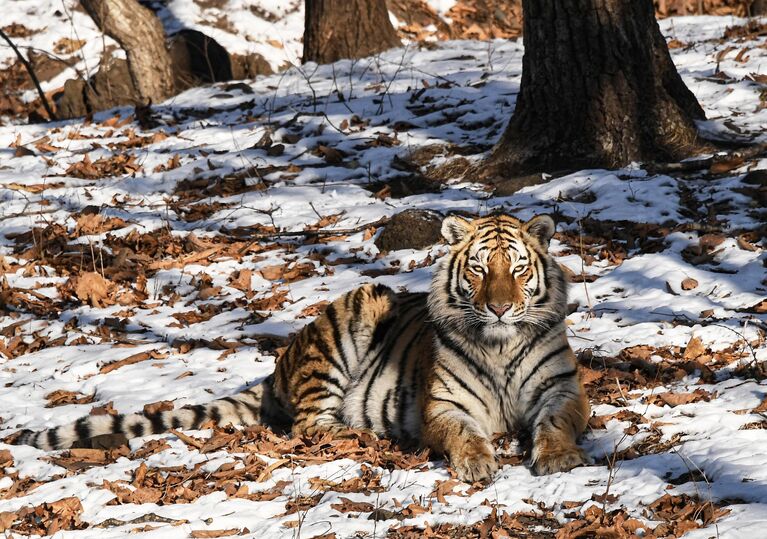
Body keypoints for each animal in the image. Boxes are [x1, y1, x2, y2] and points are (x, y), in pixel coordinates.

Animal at [10, 213, 588, 484]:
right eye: (479, 270)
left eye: (517, 269)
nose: (499, 308)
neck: (499, 344)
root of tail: (277, 369)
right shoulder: (444, 404)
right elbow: (464, 434)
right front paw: (477, 463)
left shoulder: (563, 389)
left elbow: (556, 422)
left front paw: (558, 459)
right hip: (353, 314)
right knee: (311, 425)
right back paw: (367, 435)